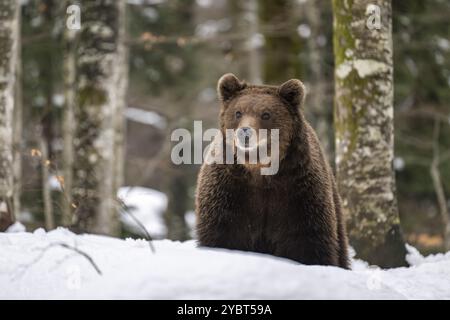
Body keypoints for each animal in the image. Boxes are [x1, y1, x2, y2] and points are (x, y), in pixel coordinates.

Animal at [195, 74, 350, 268]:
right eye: (238, 112)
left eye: (266, 114)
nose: (245, 132)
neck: (260, 171)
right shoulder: (229, 191)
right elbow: (222, 232)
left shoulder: (299, 192)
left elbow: (308, 240)